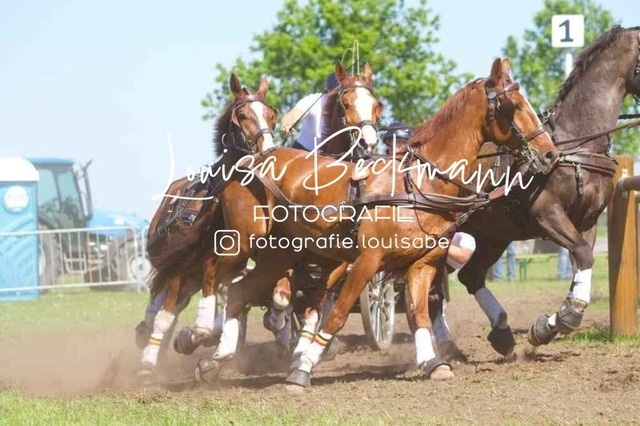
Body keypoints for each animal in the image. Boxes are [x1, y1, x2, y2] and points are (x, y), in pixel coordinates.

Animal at [136, 73, 279, 380]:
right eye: (242, 115)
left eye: (271, 114)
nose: (269, 150)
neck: (214, 207)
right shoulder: (179, 269)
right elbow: (165, 318)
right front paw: (149, 363)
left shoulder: (233, 267)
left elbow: (227, 311)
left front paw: (195, 338)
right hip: (171, 267)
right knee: (158, 305)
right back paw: (147, 341)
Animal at [199, 58, 558, 387]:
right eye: (514, 105)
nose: (550, 152)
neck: (417, 183)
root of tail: (251, 159)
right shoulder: (367, 261)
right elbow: (337, 315)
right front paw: (302, 370)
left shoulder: (423, 264)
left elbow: (418, 313)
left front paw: (433, 362)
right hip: (245, 239)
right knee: (216, 273)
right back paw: (203, 333)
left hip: (283, 252)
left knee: (242, 292)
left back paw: (217, 360)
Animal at [437, 26, 640, 356]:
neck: (575, 144)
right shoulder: (547, 214)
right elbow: (582, 255)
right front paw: (566, 316)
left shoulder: (587, 222)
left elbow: (582, 260)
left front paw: (550, 325)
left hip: (494, 234)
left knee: (470, 275)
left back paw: (501, 332)